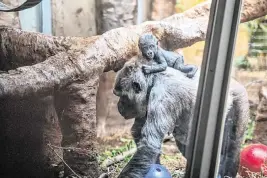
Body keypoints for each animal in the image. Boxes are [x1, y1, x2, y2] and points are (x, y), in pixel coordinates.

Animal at [112, 56, 249, 178]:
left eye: (122, 96)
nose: (119, 106)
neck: (153, 79)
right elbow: (138, 132)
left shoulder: (162, 98)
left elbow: (149, 144)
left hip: (240, 98)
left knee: (232, 146)